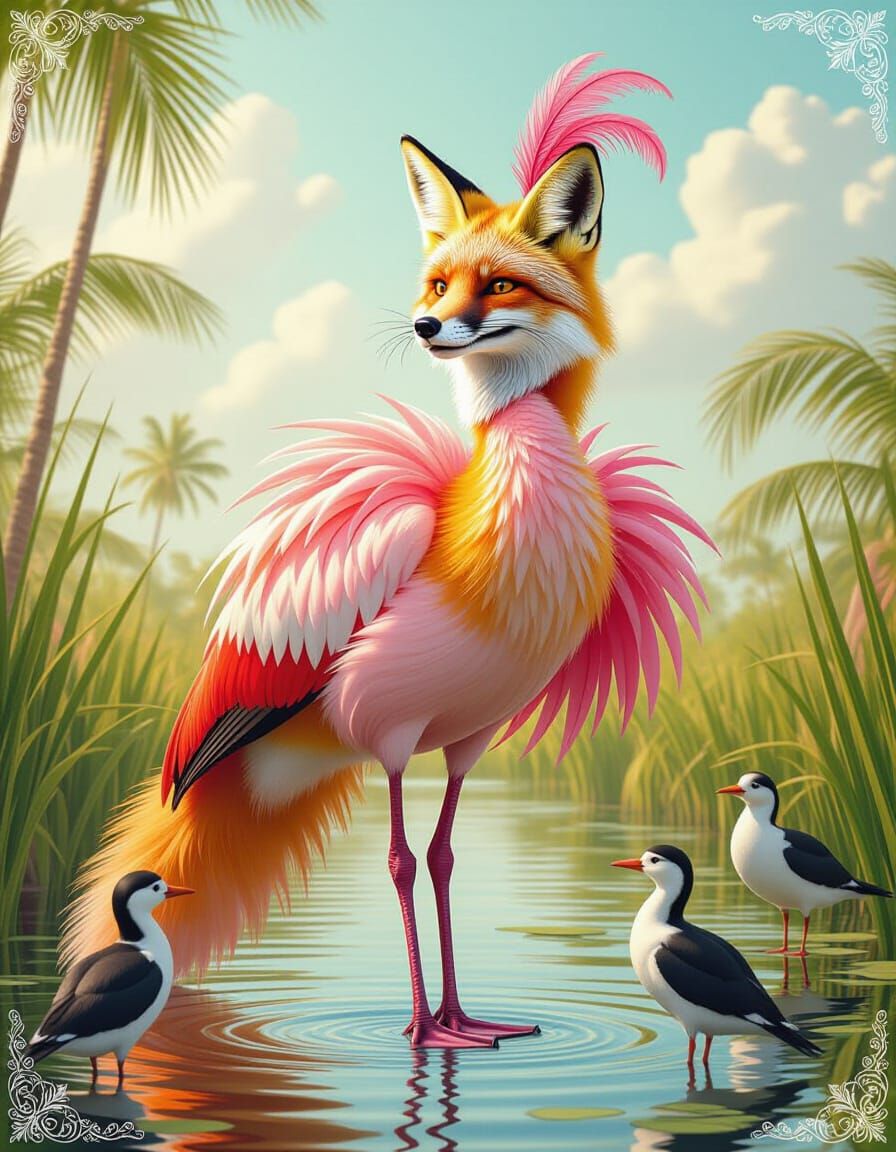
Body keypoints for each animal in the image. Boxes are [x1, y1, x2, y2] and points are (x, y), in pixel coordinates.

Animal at [61, 54, 709, 1048]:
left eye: (502, 285)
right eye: (438, 282)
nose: (426, 329)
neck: (488, 534)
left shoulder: (471, 735)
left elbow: (442, 855)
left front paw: (464, 1019)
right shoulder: (394, 734)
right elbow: (402, 859)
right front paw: (422, 1030)